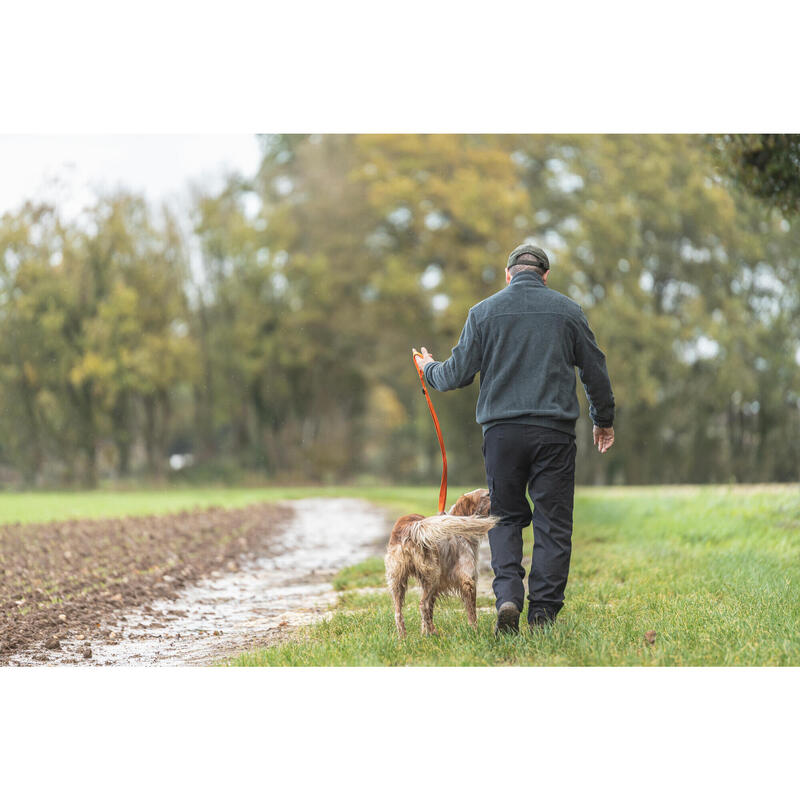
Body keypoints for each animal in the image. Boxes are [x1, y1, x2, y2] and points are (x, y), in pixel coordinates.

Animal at [384, 488, 496, 636]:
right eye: (488, 494)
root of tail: (410, 527)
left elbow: (428, 615)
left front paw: (424, 634)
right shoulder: (468, 580)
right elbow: (472, 613)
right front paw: (475, 632)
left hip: (397, 581)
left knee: (398, 613)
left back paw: (404, 637)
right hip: (432, 576)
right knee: (422, 605)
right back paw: (434, 634)